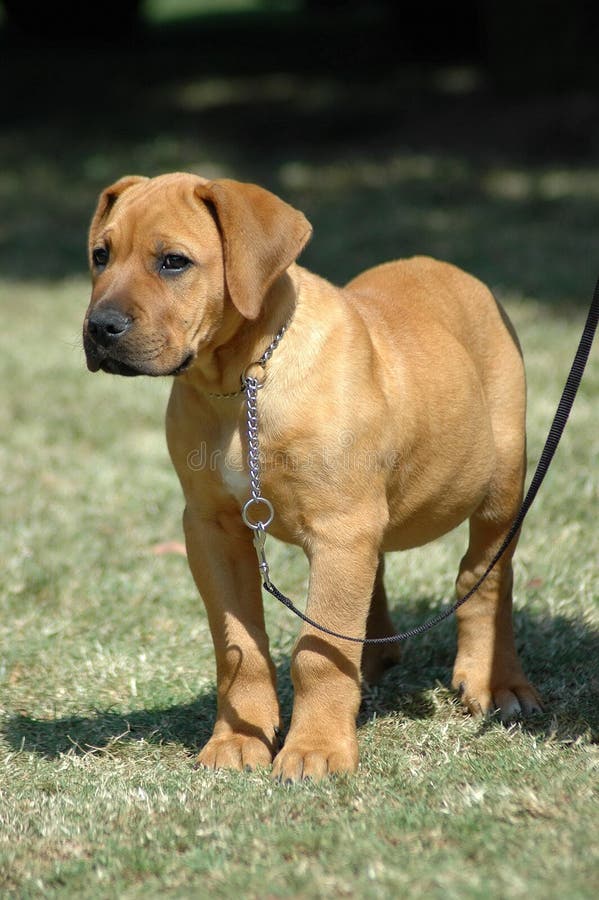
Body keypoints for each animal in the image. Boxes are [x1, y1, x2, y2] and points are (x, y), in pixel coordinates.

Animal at [85, 174, 544, 780]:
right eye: (100, 255)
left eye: (173, 262)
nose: (99, 328)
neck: (245, 380)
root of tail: (447, 268)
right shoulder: (213, 529)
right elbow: (239, 646)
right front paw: (238, 741)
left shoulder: (338, 528)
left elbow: (317, 651)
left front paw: (316, 750)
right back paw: (375, 658)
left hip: (501, 483)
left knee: (486, 577)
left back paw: (499, 683)